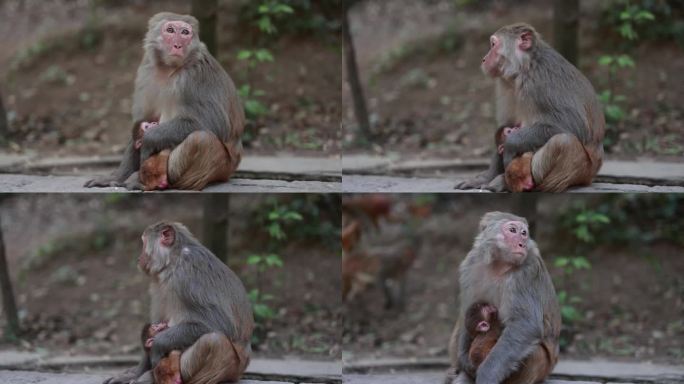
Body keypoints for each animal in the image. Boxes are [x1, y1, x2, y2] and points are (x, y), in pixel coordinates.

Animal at [87, 12, 243, 190]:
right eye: (170, 30)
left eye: (185, 32)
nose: (178, 45)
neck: (169, 69)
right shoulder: (146, 70)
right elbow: (144, 119)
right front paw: (117, 176)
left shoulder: (196, 75)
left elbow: (215, 122)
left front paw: (150, 139)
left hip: (222, 167)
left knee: (199, 139)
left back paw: (148, 180)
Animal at [105, 222, 255, 384]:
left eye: (143, 243)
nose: (139, 258)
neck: (172, 261)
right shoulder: (158, 283)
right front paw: (134, 373)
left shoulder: (188, 273)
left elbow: (221, 323)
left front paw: (158, 344)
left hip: (231, 367)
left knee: (212, 339)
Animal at [444, 212, 560, 384]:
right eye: (512, 230)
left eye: (524, 233)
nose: (521, 244)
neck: (499, 265)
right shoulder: (469, 265)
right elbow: (466, 312)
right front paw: (465, 362)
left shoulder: (527, 273)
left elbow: (525, 325)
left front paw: (487, 374)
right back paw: (457, 373)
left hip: (543, 366)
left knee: (534, 352)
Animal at [454, 23, 604, 192]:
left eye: (493, 44)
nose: (484, 59)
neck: (524, 68)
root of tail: (591, 176)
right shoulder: (505, 85)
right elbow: (506, 126)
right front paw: (484, 177)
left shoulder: (541, 81)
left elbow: (574, 125)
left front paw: (511, 143)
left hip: (583, 170)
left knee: (562, 141)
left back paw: (511, 182)